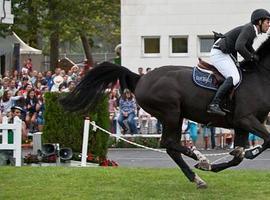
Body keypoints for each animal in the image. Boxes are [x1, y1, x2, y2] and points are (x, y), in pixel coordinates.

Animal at [60, 35, 270, 188]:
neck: (261, 77)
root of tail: (141, 78)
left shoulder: (243, 124)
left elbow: (239, 156)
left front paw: (233, 159)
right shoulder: (246, 119)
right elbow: (266, 141)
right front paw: (250, 153)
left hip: (175, 116)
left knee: (171, 146)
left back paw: (198, 176)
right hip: (171, 113)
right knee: (169, 143)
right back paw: (201, 160)